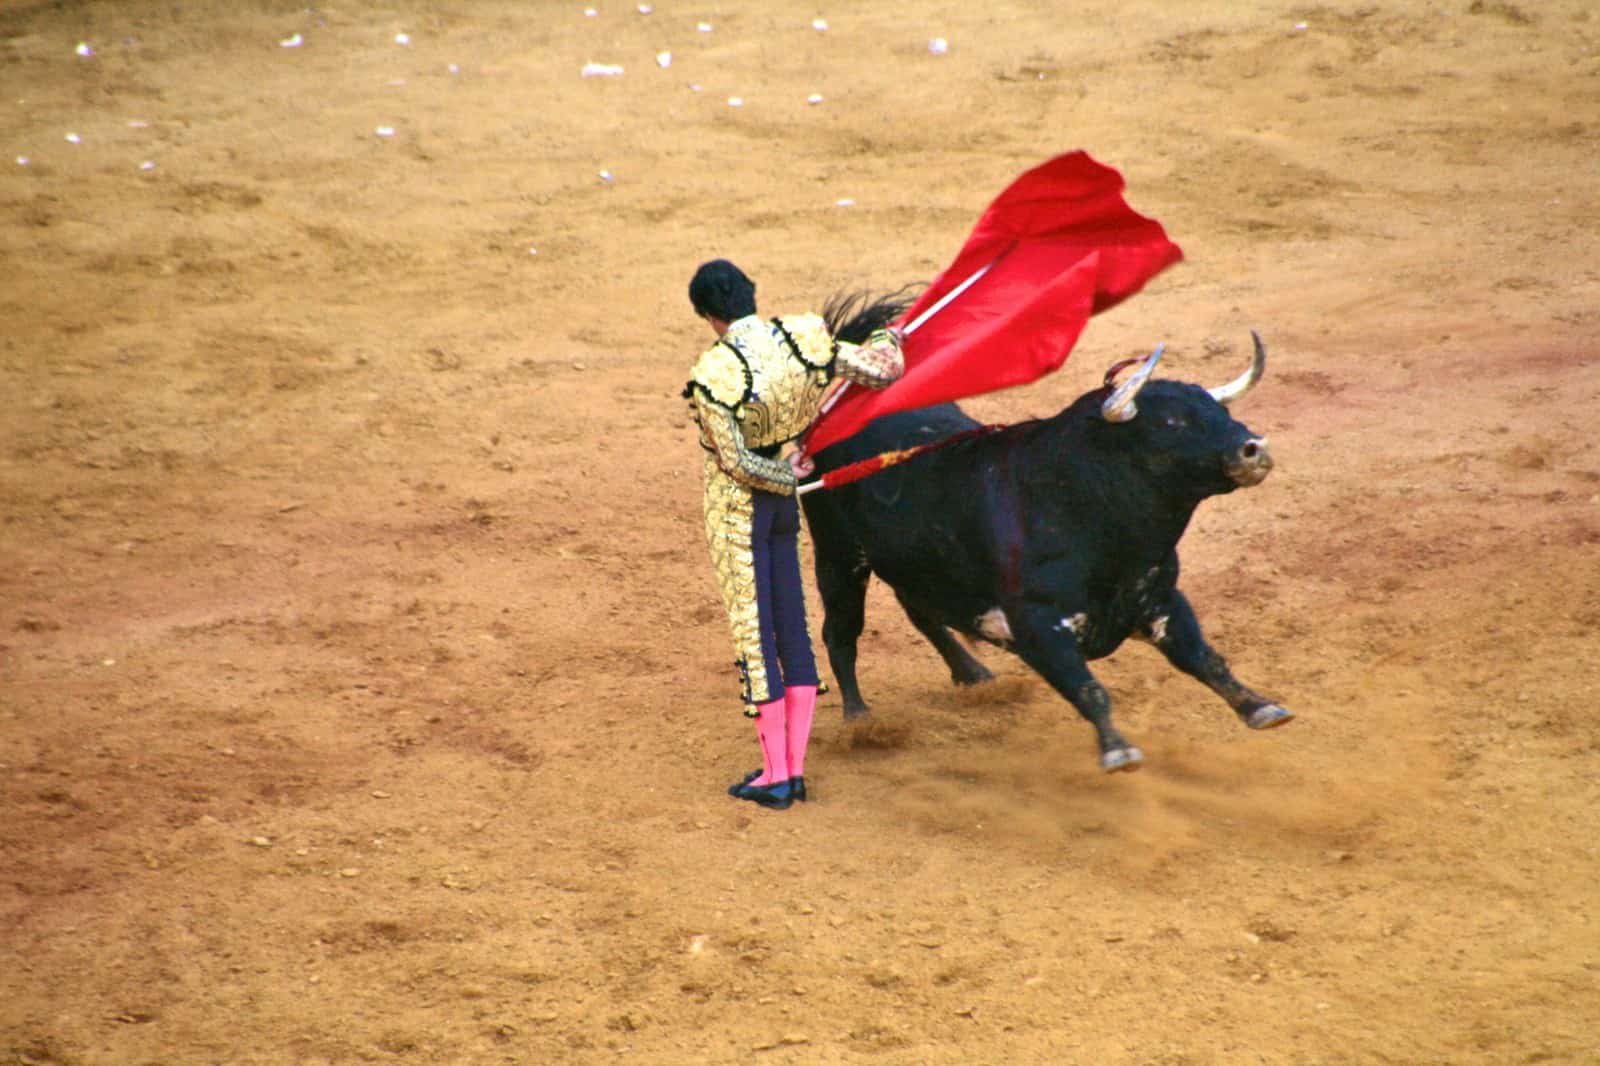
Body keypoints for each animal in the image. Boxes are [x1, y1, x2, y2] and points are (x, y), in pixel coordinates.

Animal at [806, 328, 1292, 768]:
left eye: (1218, 409)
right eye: (1171, 423)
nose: (1253, 449)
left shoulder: (1162, 600)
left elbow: (1206, 660)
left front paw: (1262, 708)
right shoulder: (1038, 625)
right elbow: (1089, 688)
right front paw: (1118, 751)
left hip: (913, 564)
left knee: (921, 611)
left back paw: (975, 675)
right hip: (838, 555)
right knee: (841, 632)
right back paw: (860, 720)